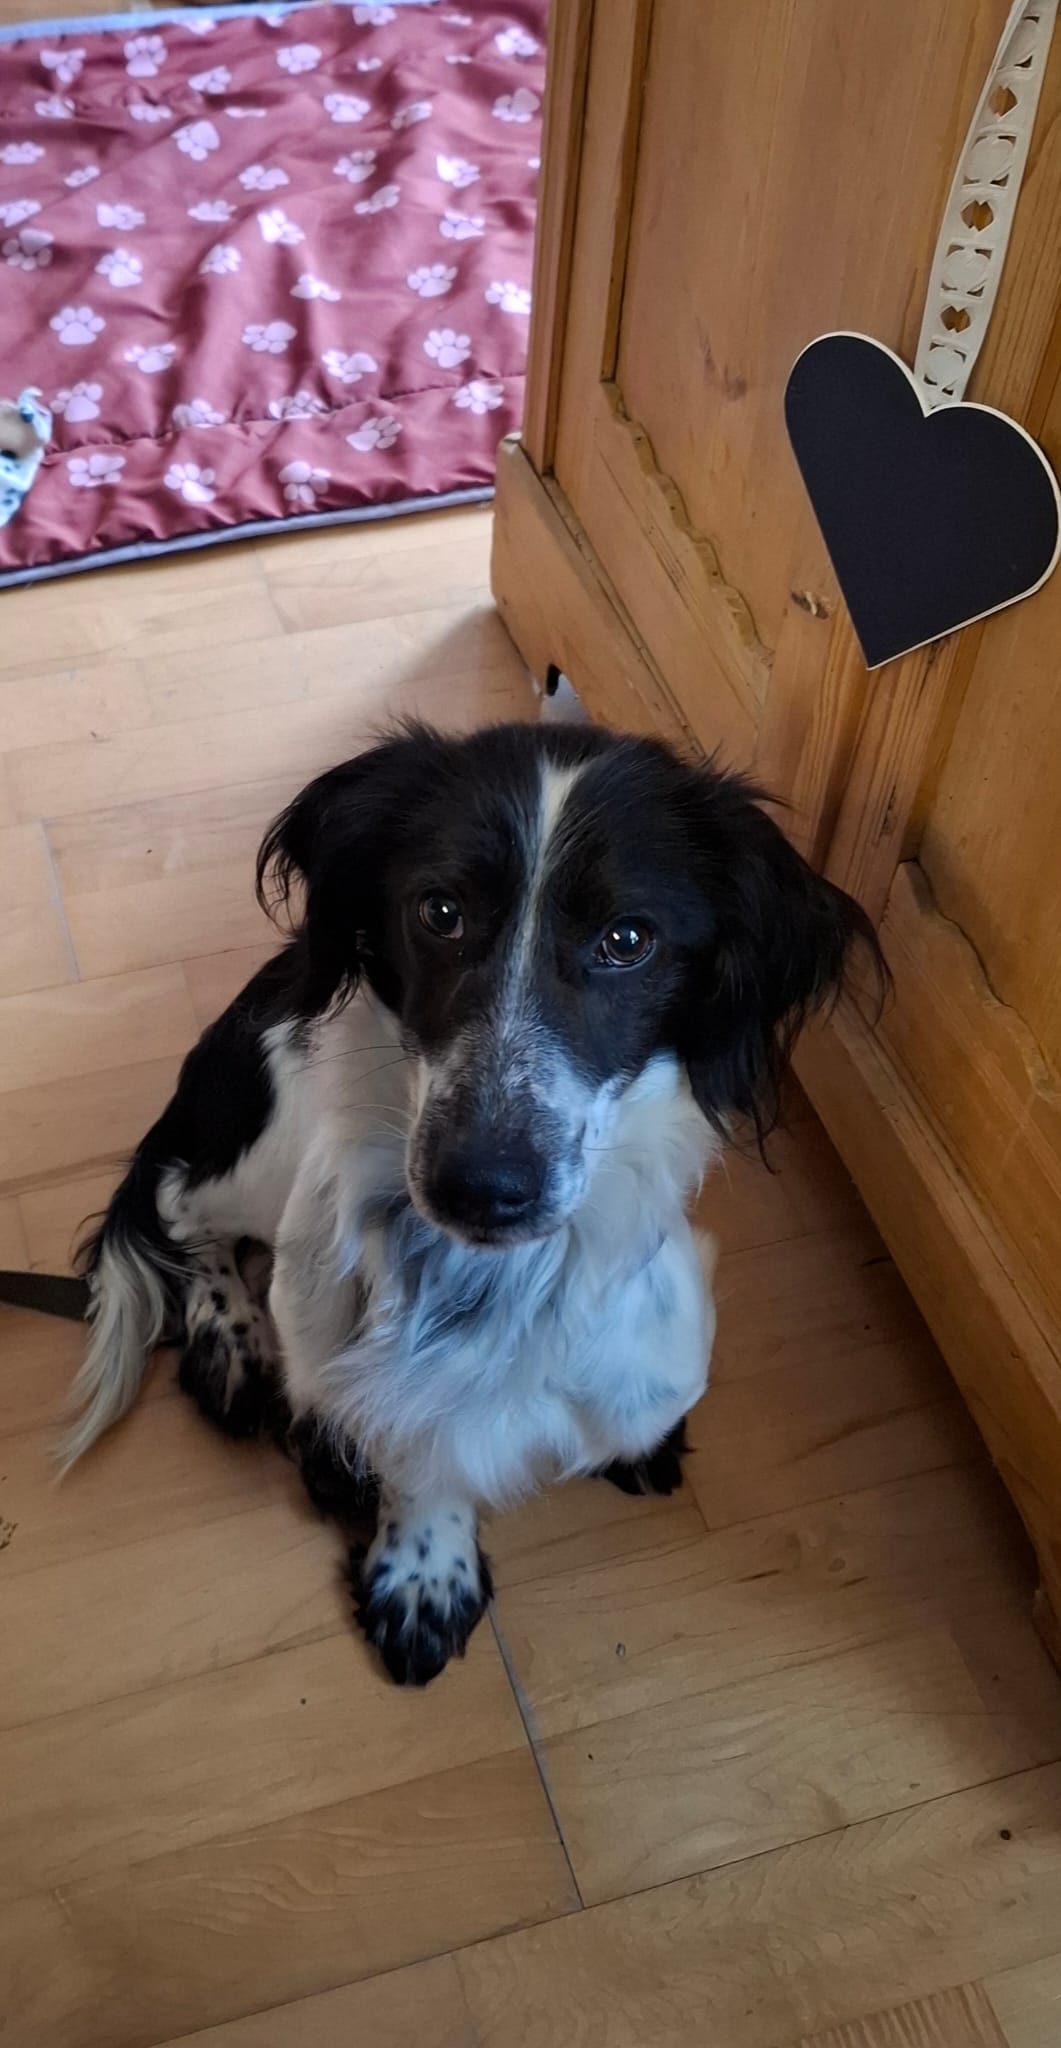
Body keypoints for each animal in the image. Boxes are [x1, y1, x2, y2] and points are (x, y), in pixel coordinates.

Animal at [63, 721, 882, 1684]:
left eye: (629, 938)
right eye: (439, 912)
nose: (479, 1186)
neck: (503, 1284)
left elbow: (638, 1399)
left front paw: (641, 1445)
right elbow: (415, 1435)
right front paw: (425, 1562)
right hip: (267, 1149)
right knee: (179, 1204)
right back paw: (232, 1341)